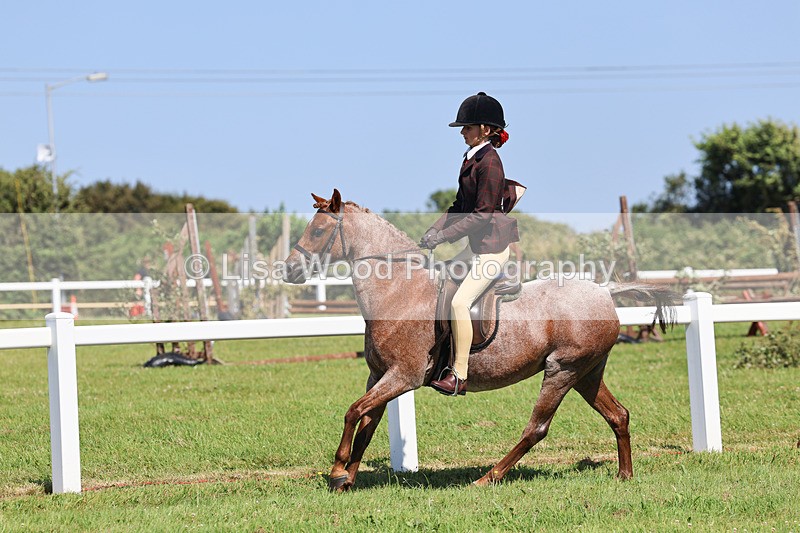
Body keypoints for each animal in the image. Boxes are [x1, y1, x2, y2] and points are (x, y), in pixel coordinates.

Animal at [283, 189, 676, 492]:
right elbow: (366, 423)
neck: (398, 290)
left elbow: (353, 411)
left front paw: (337, 472)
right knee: (618, 415)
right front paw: (346, 479)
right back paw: (624, 475)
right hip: (586, 372)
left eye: (318, 230)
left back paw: (489, 477)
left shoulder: (403, 375)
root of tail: (605, 290)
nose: (288, 270)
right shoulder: (379, 375)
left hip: (562, 371)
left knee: (537, 428)